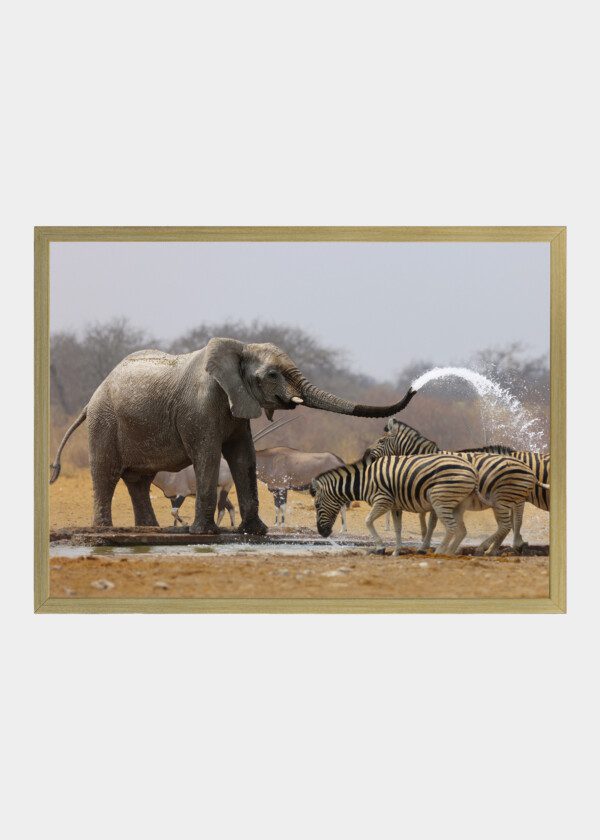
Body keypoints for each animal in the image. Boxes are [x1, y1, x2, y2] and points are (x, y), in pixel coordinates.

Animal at [49, 338, 416, 534]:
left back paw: (150, 530)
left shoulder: (238, 404)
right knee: (107, 473)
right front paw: (203, 533)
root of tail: (91, 398)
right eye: (272, 375)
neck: (240, 348)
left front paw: (256, 532)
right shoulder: (200, 407)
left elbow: (244, 457)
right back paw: (104, 530)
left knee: (139, 479)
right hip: (104, 421)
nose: (414, 386)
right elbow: (209, 455)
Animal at [310, 454, 479, 556]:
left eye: (317, 506)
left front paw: (380, 547)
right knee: (461, 531)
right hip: (456, 504)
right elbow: (398, 529)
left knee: (451, 528)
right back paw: (449, 552)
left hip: (440, 500)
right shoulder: (395, 506)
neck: (365, 481)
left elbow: (368, 521)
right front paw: (396, 551)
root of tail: (472, 468)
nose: (322, 533)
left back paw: (440, 551)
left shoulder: (383, 500)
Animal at [367, 419, 550, 553]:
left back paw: (498, 546)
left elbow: (432, 522)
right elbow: (424, 518)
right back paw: (505, 546)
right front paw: (425, 541)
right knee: (513, 521)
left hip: (507, 497)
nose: (367, 456)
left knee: (513, 521)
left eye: (381, 441)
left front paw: (425, 545)